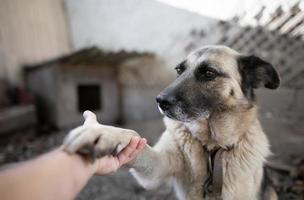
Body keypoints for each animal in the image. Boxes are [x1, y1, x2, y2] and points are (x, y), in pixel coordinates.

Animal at [63, 45, 280, 200]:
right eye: (179, 70)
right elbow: (133, 136)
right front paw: (103, 134)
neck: (211, 147)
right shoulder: (157, 167)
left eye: (208, 73)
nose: (160, 101)